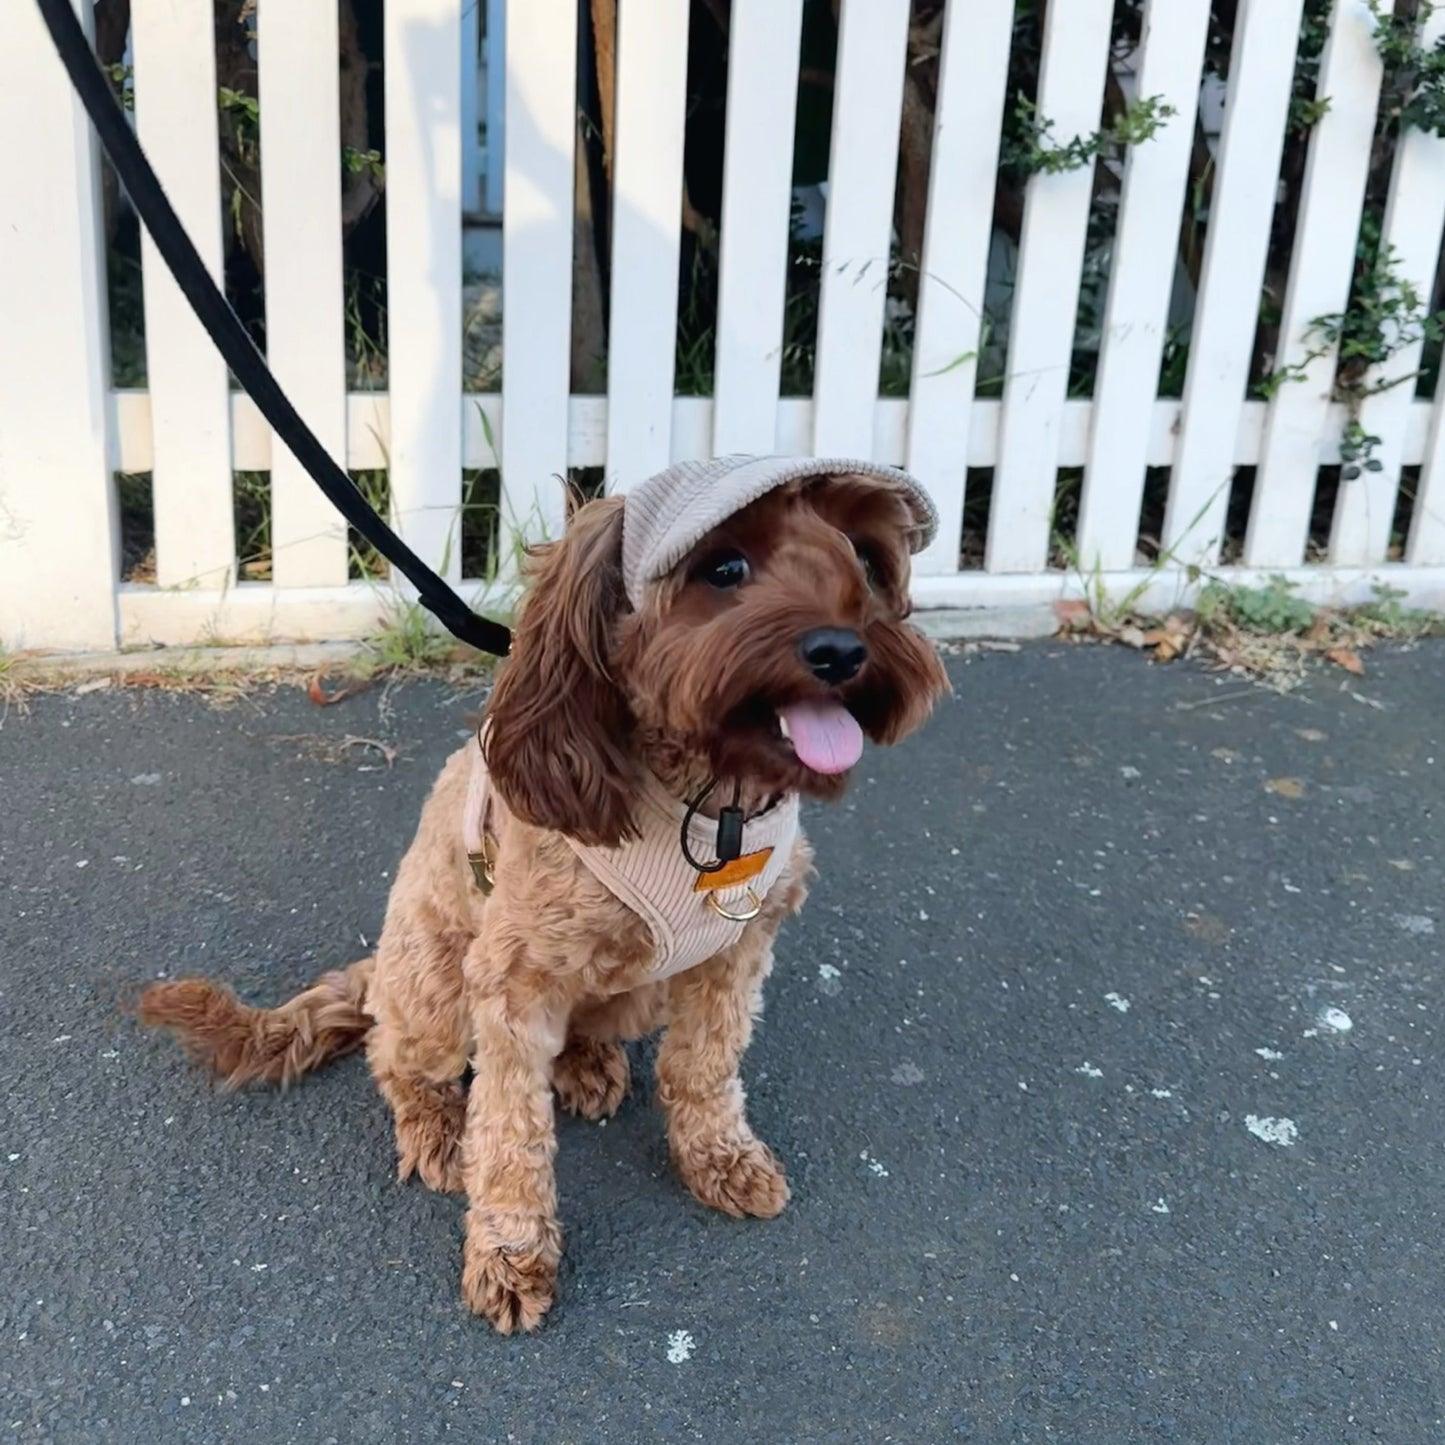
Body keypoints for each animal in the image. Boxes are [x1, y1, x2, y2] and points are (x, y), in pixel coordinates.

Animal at [135, 468, 947, 1323]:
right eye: (724, 568)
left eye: (866, 556)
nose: (843, 650)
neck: (709, 805)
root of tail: (376, 971)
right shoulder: (511, 982)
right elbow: (509, 1129)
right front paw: (510, 1252)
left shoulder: (736, 952)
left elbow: (704, 1065)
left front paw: (719, 1157)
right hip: (432, 985)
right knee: (397, 1057)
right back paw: (436, 1128)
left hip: (635, 988)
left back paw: (588, 1061)